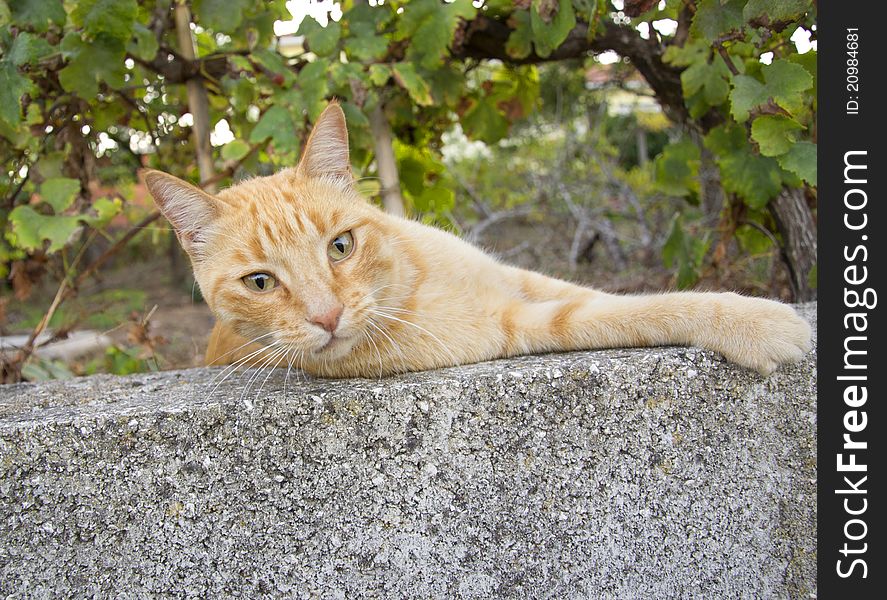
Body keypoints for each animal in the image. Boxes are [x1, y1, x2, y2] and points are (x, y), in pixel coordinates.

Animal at [144, 101, 812, 378]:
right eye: (260, 282)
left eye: (340, 246)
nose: (327, 317)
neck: (411, 280)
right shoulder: (519, 325)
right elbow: (638, 311)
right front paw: (760, 323)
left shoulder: (522, 278)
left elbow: (618, 296)